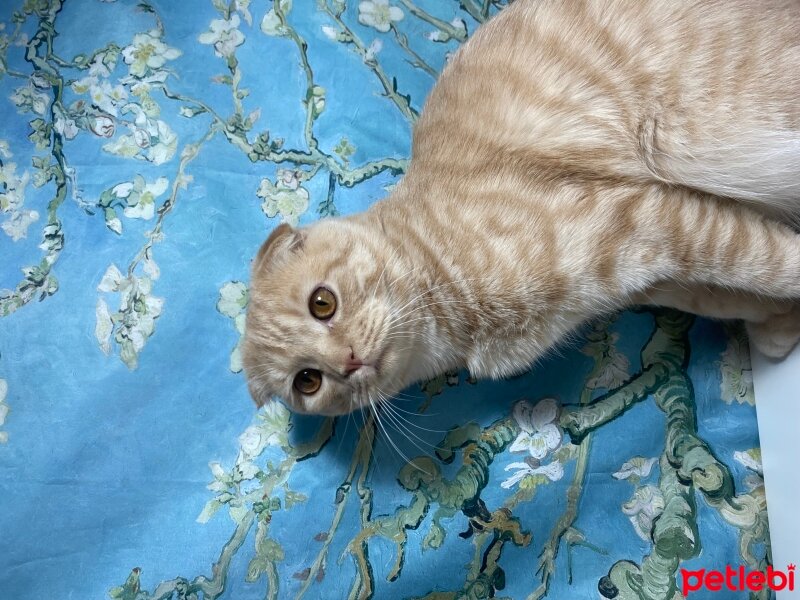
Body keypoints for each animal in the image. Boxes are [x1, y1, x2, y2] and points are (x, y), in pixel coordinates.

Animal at [242, 0, 800, 414]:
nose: (348, 362)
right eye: (308, 381)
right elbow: (732, 289)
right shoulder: (654, 270)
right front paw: (777, 328)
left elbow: (772, 261)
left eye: (322, 303)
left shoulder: (647, 217)